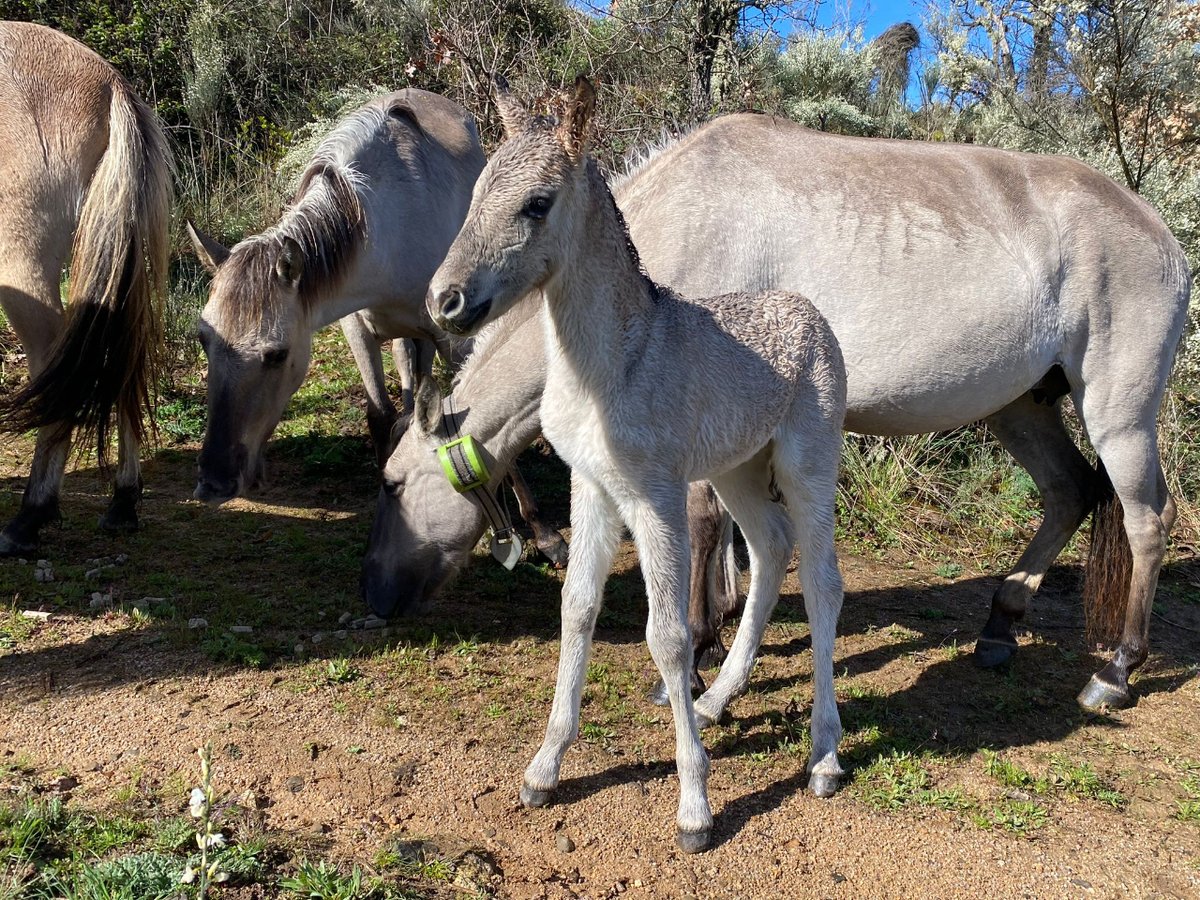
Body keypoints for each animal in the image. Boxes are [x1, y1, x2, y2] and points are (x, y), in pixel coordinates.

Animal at [0, 22, 174, 556]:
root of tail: (108, 83)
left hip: (20, 259)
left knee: (54, 365)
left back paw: (29, 517)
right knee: (121, 356)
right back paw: (122, 502)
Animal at [427, 75, 849, 854]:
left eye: (537, 203)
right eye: (477, 192)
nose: (446, 300)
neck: (611, 363)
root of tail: (809, 312)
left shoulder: (653, 495)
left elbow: (668, 636)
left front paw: (695, 807)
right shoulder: (592, 487)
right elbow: (577, 608)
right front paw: (544, 769)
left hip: (809, 463)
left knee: (822, 583)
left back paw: (825, 755)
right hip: (736, 470)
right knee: (771, 548)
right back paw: (719, 701)